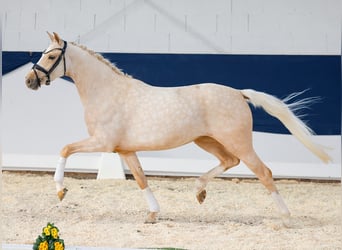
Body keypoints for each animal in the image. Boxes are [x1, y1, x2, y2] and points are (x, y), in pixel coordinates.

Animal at [25, 32, 330, 223]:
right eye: (41, 54)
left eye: (51, 57)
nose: (29, 81)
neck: (108, 91)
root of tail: (239, 93)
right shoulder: (125, 150)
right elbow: (141, 179)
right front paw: (152, 214)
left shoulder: (102, 142)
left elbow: (65, 149)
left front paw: (60, 190)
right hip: (206, 140)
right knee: (229, 162)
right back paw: (199, 191)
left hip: (238, 141)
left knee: (263, 172)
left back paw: (285, 218)